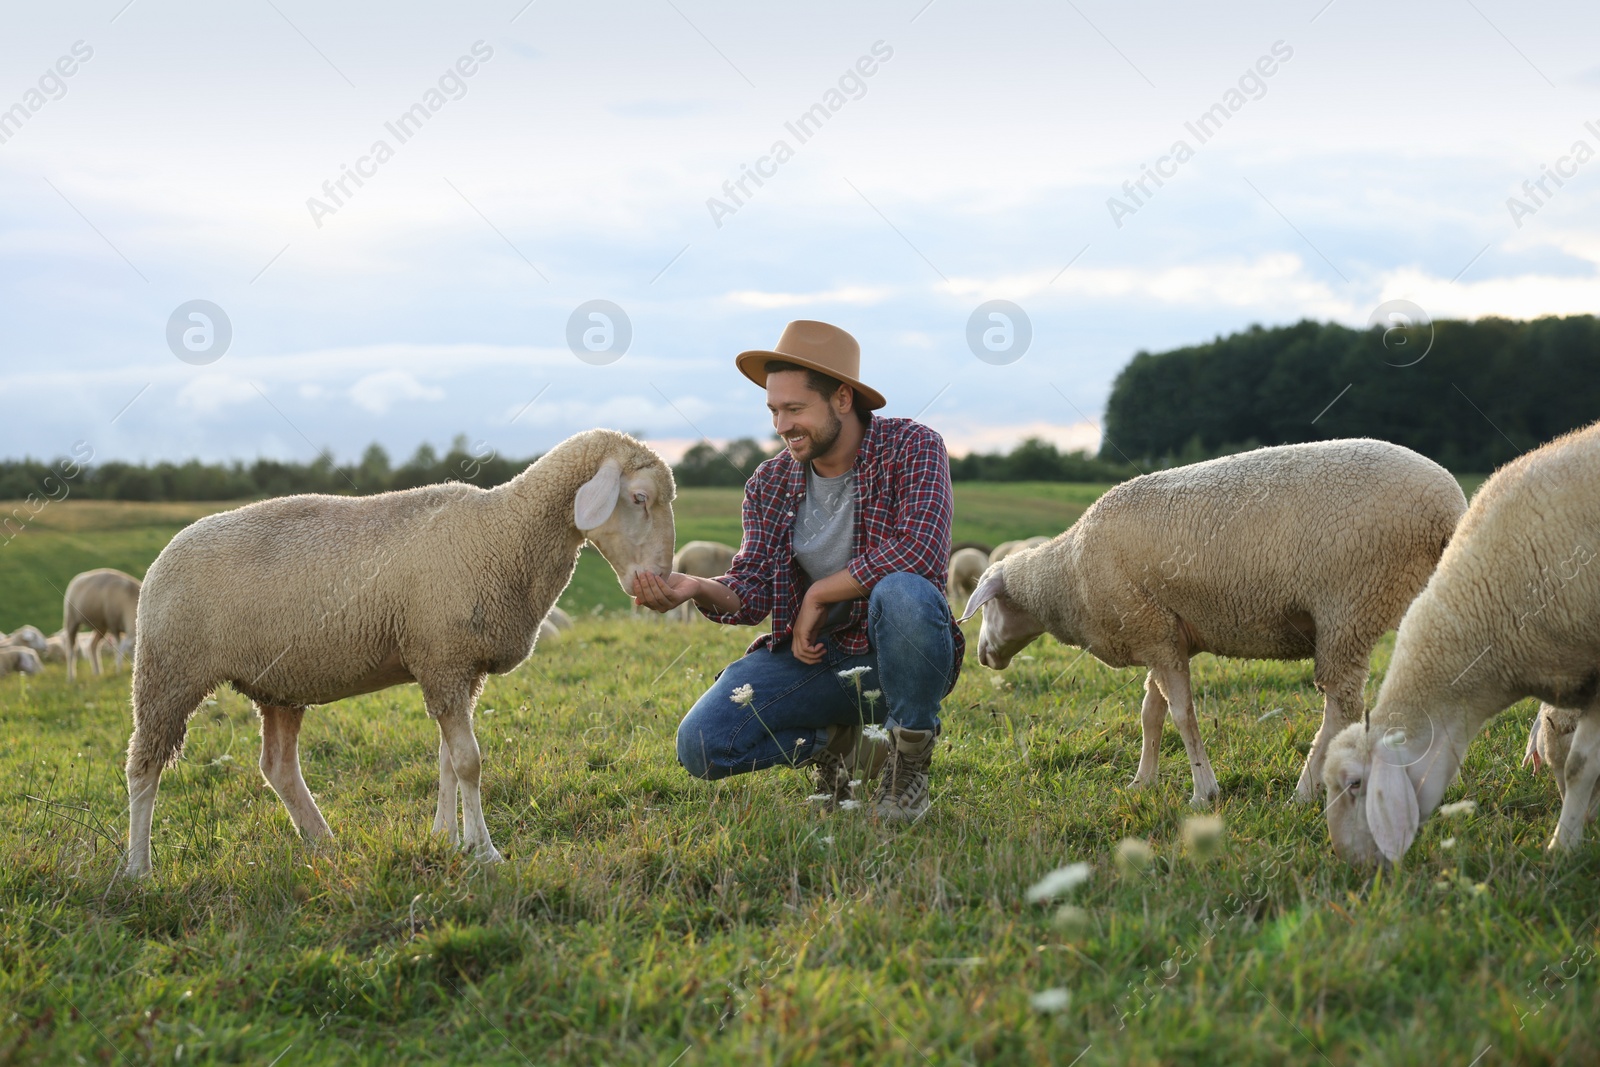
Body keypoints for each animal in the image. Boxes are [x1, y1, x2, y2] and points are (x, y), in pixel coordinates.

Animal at [123, 428, 675, 883]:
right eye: (639, 498)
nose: (659, 580)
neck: (504, 532)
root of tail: (164, 554)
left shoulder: (456, 667)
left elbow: (447, 761)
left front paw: (447, 841)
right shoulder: (443, 659)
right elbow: (469, 762)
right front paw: (485, 852)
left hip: (278, 682)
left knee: (277, 767)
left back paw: (324, 844)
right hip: (168, 671)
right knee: (143, 769)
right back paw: (138, 871)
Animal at [953, 438, 1465, 806]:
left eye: (989, 606)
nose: (981, 657)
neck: (1067, 575)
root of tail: (1450, 506)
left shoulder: (1152, 631)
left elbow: (1183, 714)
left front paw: (1204, 791)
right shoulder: (1162, 637)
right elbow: (1151, 713)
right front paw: (1142, 782)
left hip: (1349, 607)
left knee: (1340, 706)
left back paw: (1305, 792)